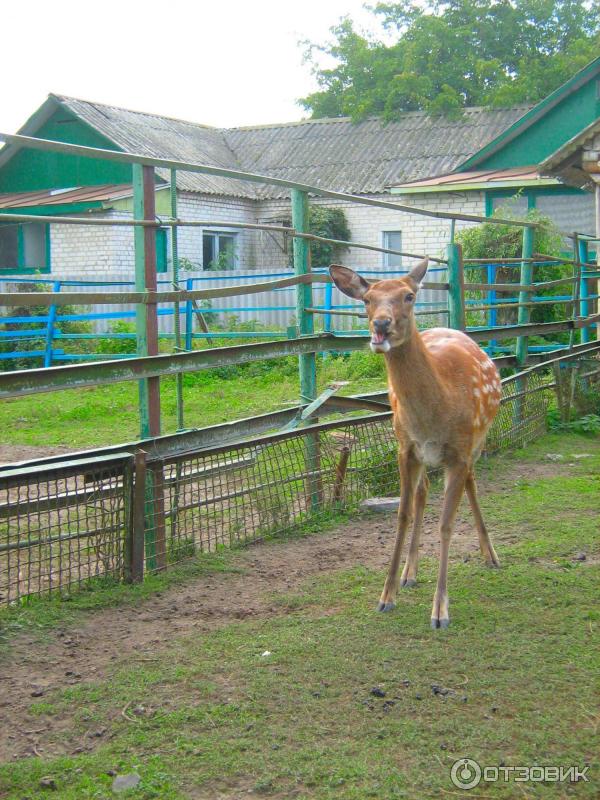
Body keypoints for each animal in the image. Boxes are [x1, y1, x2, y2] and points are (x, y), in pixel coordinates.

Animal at [328, 260, 502, 628]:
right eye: (367, 299)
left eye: (409, 295)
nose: (381, 324)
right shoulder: (405, 449)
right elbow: (402, 515)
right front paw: (386, 595)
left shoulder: (459, 452)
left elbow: (447, 523)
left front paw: (440, 611)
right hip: (423, 455)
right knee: (423, 493)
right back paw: (410, 573)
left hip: (478, 439)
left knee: (472, 483)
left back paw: (491, 555)